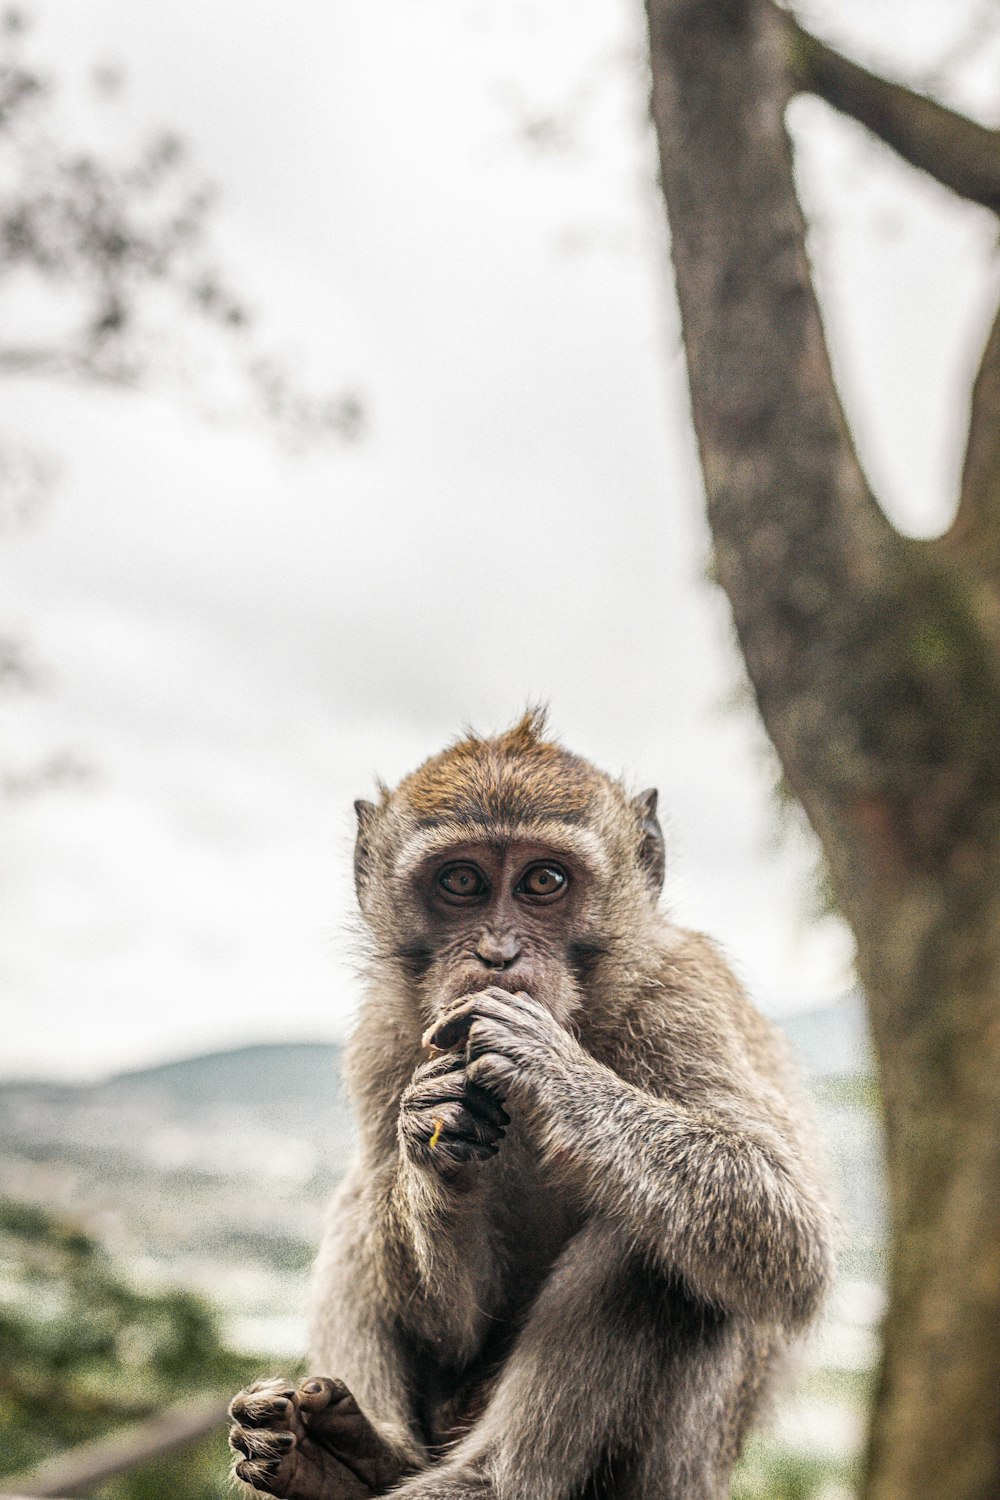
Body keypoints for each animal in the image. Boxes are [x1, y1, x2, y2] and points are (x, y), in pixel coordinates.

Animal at [229, 711, 839, 1500]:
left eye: (543, 881)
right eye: (461, 881)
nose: (498, 955)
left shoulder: (682, 996)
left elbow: (788, 1231)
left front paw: (542, 1063)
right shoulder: (381, 1043)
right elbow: (453, 1326)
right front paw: (434, 1133)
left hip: (671, 1466)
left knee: (657, 1250)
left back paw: (488, 1479)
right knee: (365, 1196)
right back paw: (352, 1457)